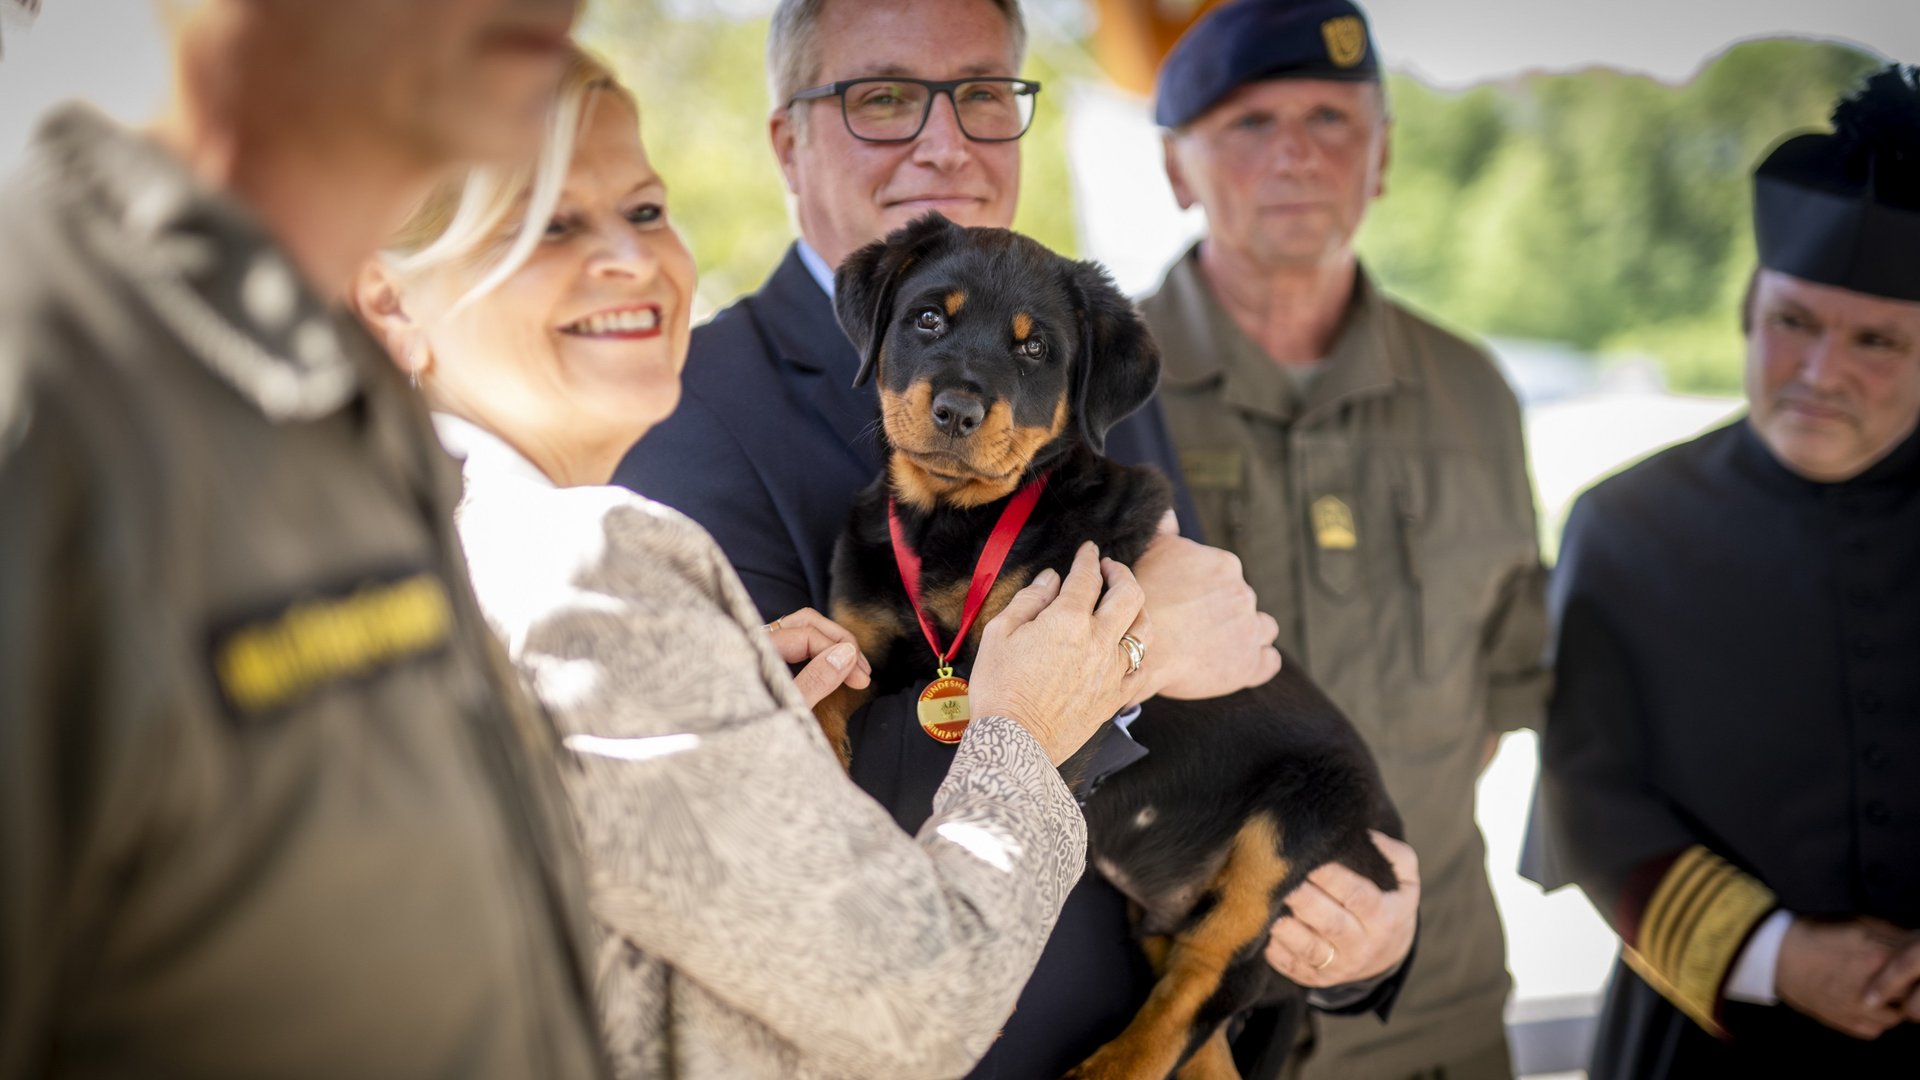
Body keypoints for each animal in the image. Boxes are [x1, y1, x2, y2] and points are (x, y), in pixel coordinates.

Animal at [817, 210, 1405, 1076]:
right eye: (927, 319)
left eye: (1035, 349)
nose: (957, 408)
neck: (954, 523)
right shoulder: (860, 630)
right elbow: (822, 677)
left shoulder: (1054, 689)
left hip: (1300, 822)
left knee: (1205, 980)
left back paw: (1106, 1067)